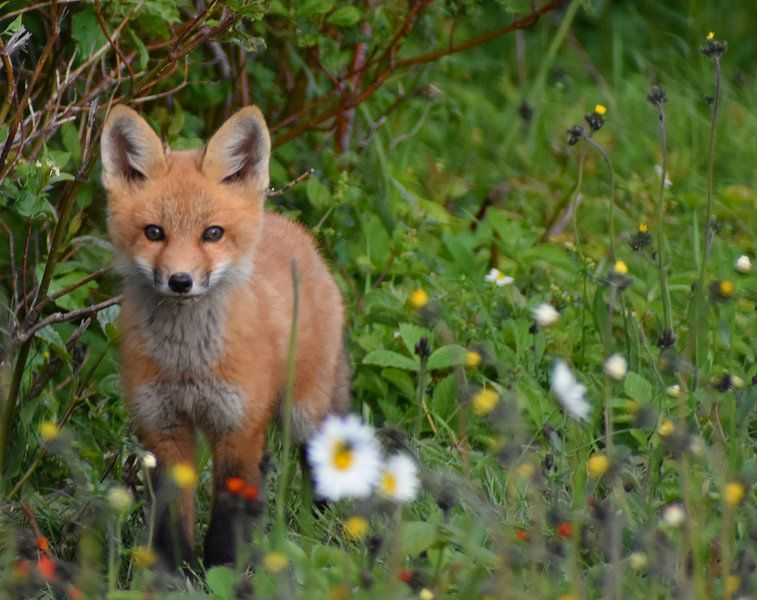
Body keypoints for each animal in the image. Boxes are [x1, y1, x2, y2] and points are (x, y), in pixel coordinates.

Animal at [100, 105, 350, 568]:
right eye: (154, 232)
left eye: (212, 233)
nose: (180, 281)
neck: (188, 364)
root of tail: (298, 233)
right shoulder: (163, 428)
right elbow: (171, 515)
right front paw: (174, 572)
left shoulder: (238, 426)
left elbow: (229, 517)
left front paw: (223, 569)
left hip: (302, 411)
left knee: (320, 454)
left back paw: (321, 519)